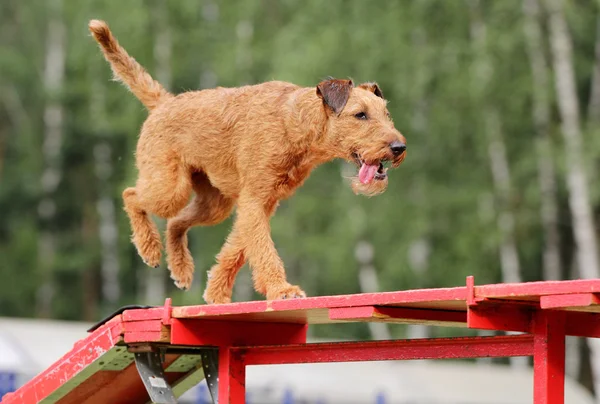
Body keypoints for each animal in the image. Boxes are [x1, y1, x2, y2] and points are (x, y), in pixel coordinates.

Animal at [90, 19, 408, 304]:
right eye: (360, 114)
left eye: (386, 114)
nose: (399, 147)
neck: (294, 124)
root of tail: (164, 102)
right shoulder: (255, 198)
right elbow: (263, 249)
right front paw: (282, 290)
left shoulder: (263, 202)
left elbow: (238, 248)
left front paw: (216, 292)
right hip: (170, 189)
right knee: (131, 195)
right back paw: (150, 250)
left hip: (215, 203)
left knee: (176, 223)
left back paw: (181, 270)